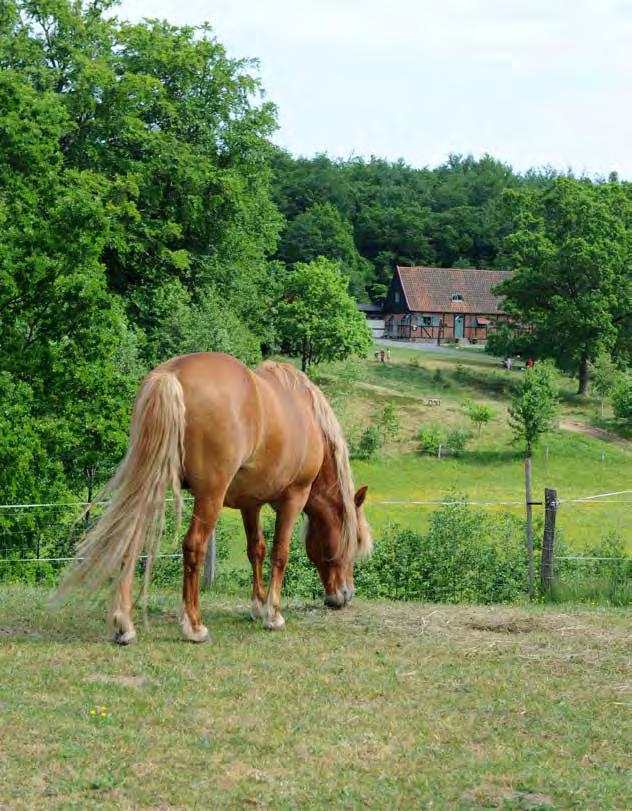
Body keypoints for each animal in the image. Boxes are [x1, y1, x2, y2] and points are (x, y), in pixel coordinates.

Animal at [62, 352, 372, 644]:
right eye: (355, 540)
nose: (345, 594)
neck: (305, 415)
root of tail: (171, 375)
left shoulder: (250, 503)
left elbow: (256, 549)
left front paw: (257, 605)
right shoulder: (294, 498)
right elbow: (279, 552)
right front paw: (273, 614)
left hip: (152, 483)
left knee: (131, 541)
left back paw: (124, 626)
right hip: (209, 496)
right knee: (193, 547)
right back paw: (194, 626)